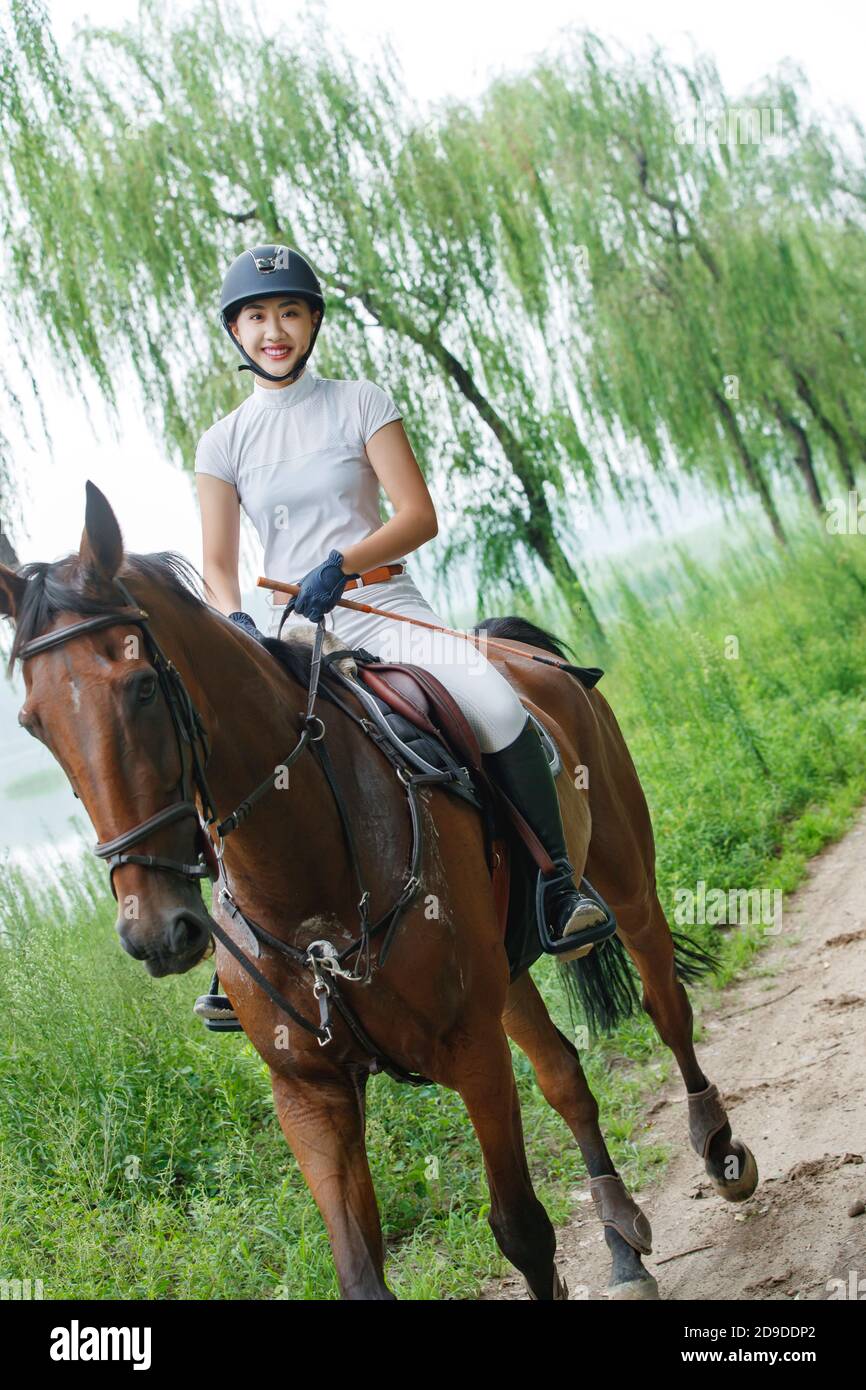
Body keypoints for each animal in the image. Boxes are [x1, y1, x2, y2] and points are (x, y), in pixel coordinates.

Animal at [0, 481, 757, 1300]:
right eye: (33, 723)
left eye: (141, 688)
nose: (154, 932)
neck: (308, 889)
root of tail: (517, 652)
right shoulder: (310, 1091)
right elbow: (360, 1272)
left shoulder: (472, 1052)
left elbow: (522, 1229)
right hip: (505, 973)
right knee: (564, 1076)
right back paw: (621, 1245)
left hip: (626, 884)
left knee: (666, 1006)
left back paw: (718, 1149)